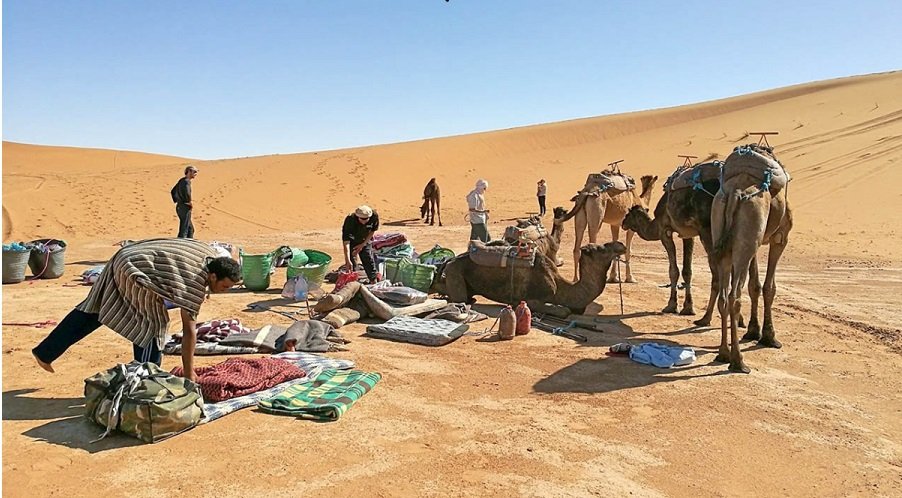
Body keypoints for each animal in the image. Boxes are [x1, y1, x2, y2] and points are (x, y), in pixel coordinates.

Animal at [442, 240, 624, 318]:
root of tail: (448, 262)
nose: (620, 245)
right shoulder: (533, 298)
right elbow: (563, 311)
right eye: (601, 249)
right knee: (459, 298)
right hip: (454, 272)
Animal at [708, 144, 796, 374]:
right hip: (749, 233)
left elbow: (754, 286)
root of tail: (735, 192)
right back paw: (738, 362)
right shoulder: (779, 238)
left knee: (724, 296)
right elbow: (769, 287)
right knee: (734, 296)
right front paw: (769, 337)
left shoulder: (756, 244)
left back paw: (723, 353)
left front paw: (753, 331)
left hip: (724, 232)